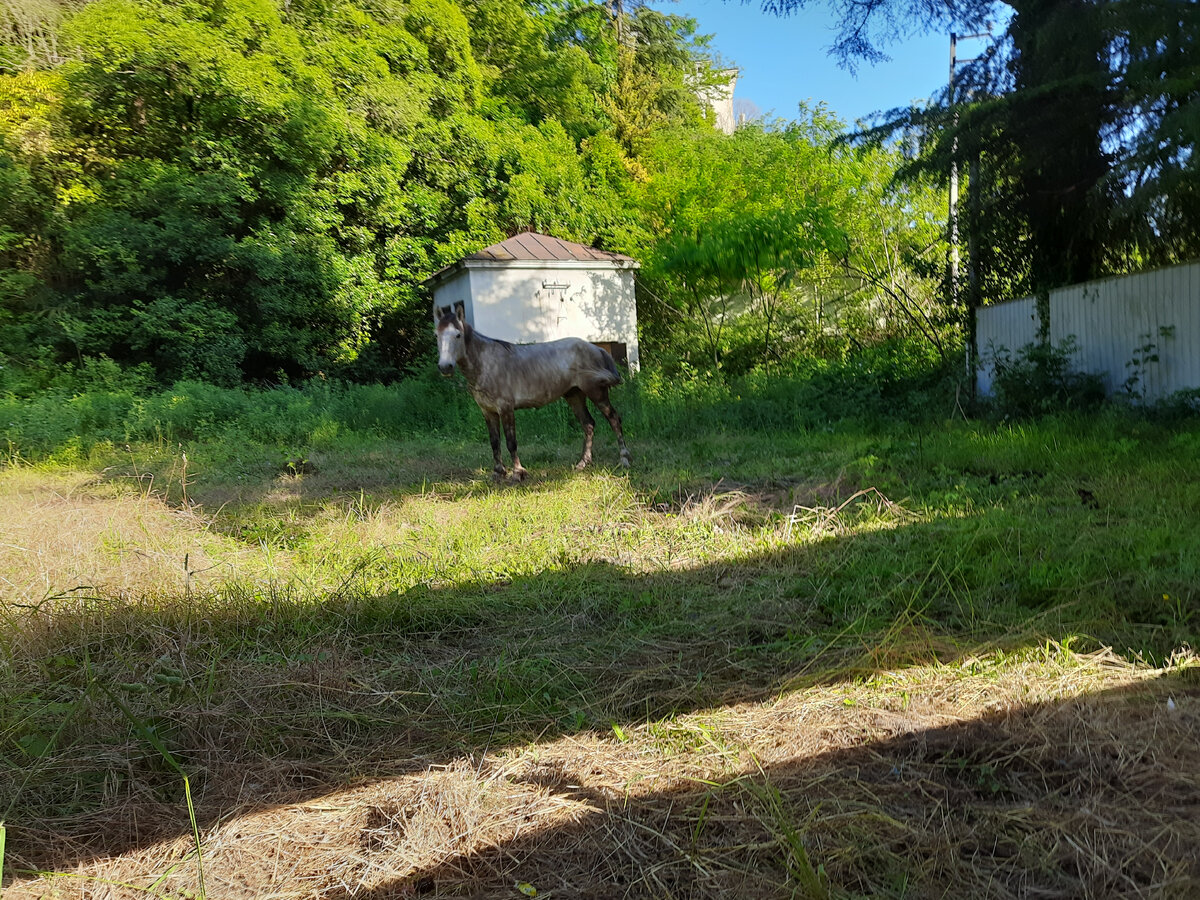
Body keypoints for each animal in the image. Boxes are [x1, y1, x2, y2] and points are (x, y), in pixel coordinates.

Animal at [436, 312, 633, 482]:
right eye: (436, 335)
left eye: (458, 335)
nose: (445, 367)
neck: (487, 363)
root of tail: (597, 348)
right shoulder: (488, 411)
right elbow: (494, 442)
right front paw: (498, 473)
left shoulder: (506, 409)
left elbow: (511, 442)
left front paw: (518, 473)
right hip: (574, 395)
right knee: (588, 424)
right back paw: (583, 463)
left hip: (596, 392)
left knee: (614, 419)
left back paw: (624, 459)